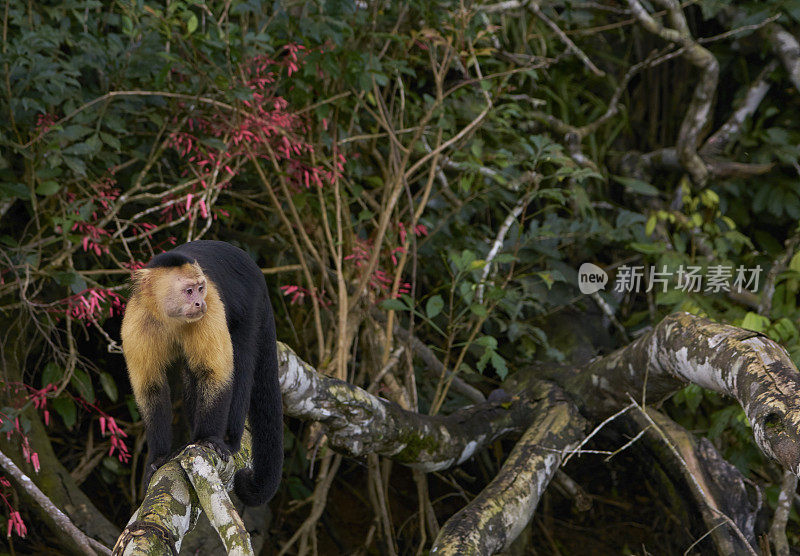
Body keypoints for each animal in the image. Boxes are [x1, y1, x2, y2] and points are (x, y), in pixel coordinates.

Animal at [119, 239, 282, 504]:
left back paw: (228, 439)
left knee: (241, 360)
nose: (199, 302)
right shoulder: (136, 320)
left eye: (200, 288)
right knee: (190, 375)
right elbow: (151, 389)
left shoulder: (212, 304)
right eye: (188, 291)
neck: (170, 318)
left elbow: (214, 373)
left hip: (251, 303)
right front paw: (159, 457)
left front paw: (209, 439)